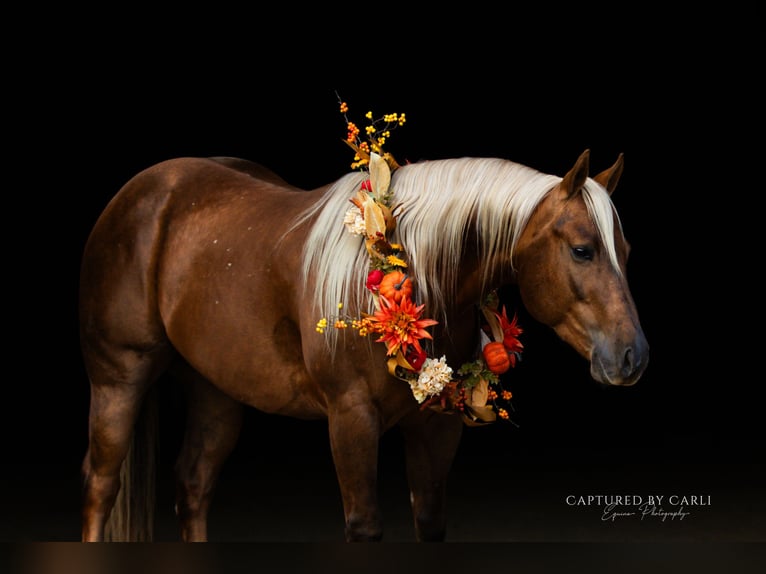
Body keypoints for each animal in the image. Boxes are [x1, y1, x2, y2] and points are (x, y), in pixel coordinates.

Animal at [79, 148, 649, 542]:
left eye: (624, 249)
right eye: (582, 250)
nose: (633, 356)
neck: (409, 268)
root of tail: (146, 190)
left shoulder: (437, 428)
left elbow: (430, 522)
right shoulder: (351, 419)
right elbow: (364, 526)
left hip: (216, 390)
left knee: (193, 487)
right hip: (119, 377)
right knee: (101, 484)